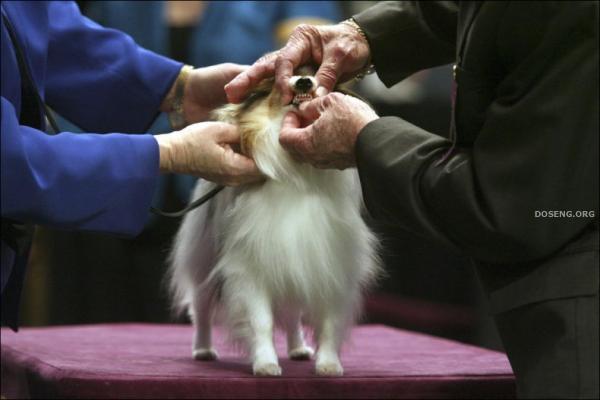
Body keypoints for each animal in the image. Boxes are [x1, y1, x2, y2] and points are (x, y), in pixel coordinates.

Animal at [168, 72, 380, 378]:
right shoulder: (249, 268)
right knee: (202, 307)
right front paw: (266, 364)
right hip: (204, 258)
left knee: (292, 315)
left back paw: (298, 348)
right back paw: (203, 349)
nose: (304, 81)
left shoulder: (332, 267)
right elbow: (261, 321)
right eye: (281, 80)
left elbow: (329, 323)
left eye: (314, 71)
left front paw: (329, 365)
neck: (297, 174)